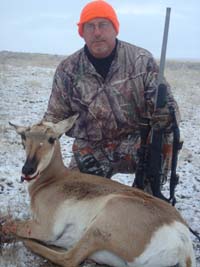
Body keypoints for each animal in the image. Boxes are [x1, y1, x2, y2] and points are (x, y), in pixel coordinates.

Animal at [1, 115, 195, 267]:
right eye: (24, 136)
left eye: (51, 138)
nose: (28, 169)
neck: (55, 179)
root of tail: (183, 240)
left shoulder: (45, 228)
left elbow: (9, 224)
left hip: (98, 228)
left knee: (69, 258)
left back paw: (30, 243)